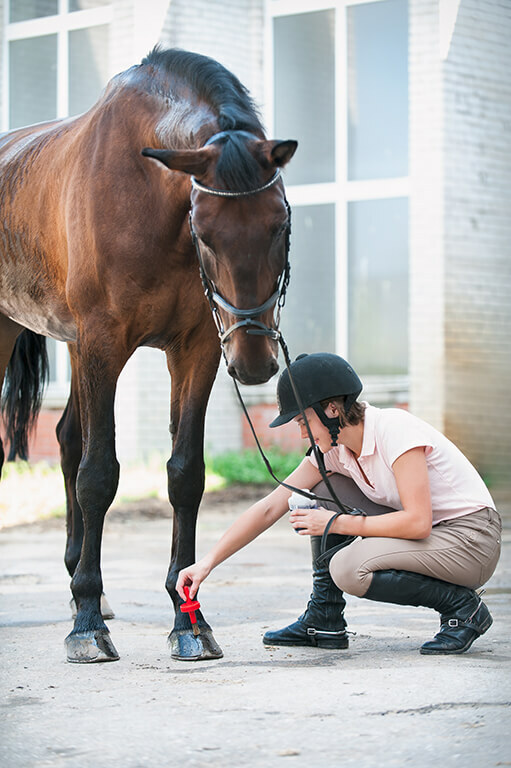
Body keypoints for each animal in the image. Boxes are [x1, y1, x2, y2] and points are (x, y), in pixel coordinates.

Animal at [0, 47, 297, 663]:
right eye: (204, 232)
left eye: (279, 223)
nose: (254, 359)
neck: (146, 192)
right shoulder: (103, 342)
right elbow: (98, 475)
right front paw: (87, 624)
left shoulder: (196, 349)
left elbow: (185, 475)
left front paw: (189, 620)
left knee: (66, 438)